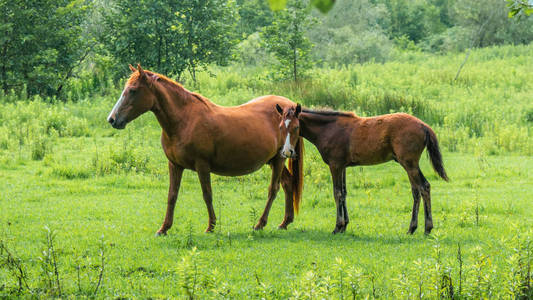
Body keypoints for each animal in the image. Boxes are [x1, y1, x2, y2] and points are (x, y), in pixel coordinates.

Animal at [106, 64, 304, 236]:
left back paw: (260, 224)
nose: (112, 119)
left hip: (278, 160)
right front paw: (164, 228)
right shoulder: (174, 165)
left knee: (273, 189)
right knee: (287, 184)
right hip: (275, 160)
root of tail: (290, 107)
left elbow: (207, 194)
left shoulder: (202, 166)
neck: (184, 120)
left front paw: (211, 226)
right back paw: (285, 222)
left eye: (133, 90)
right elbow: (172, 196)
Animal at [282, 105, 448, 234]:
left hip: (409, 164)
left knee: (424, 187)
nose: (288, 152)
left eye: (296, 127)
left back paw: (427, 228)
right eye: (281, 127)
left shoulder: (335, 165)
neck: (328, 129)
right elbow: (344, 193)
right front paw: (345, 225)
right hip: (409, 165)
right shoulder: (343, 167)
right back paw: (412, 228)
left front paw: (337, 226)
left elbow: (337, 193)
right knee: (416, 191)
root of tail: (424, 126)